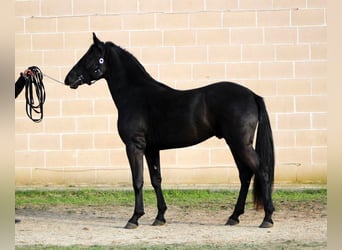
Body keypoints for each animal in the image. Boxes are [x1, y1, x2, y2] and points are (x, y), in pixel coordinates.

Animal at [65, 32, 276, 229]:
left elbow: (137, 181)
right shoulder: (151, 149)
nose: (69, 78)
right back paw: (234, 217)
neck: (135, 95)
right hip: (234, 144)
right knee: (245, 175)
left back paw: (267, 218)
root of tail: (252, 95)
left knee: (262, 171)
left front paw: (134, 218)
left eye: (88, 58)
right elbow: (156, 180)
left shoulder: (134, 146)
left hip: (240, 144)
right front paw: (160, 217)